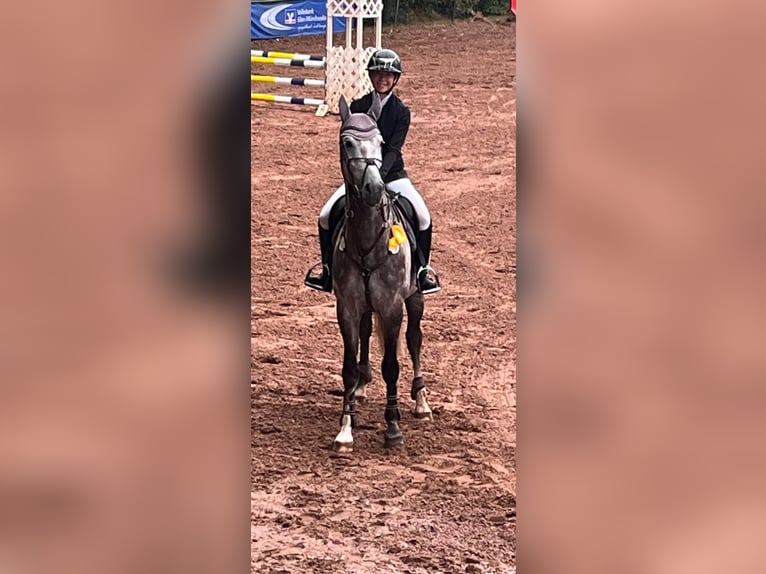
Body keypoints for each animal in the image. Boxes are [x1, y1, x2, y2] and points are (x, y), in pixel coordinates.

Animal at [332, 95, 436, 454]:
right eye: (348, 142)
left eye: (380, 142)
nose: (375, 189)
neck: (367, 239)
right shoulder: (347, 307)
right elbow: (348, 367)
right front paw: (345, 430)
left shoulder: (392, 307)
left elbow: (392, 365)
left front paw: (393, 429)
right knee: (365, 334)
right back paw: (362, 390)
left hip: (415, 298)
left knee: (415, 339)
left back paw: (421, 402)